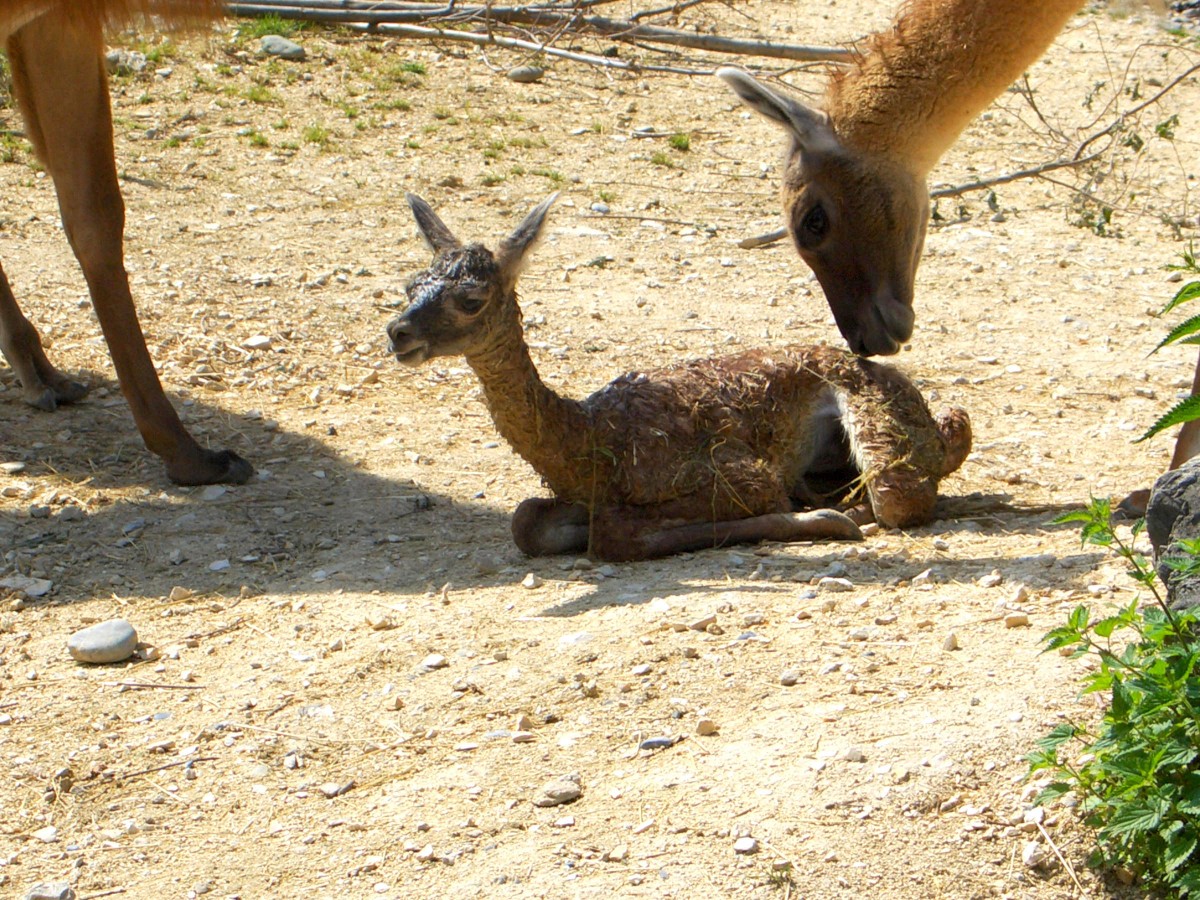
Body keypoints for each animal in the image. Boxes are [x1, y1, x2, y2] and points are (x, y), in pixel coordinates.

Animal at [388, 196, 969, 564]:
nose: (398, 332)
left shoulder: (740, 474)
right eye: (411, 285)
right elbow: (527, 520)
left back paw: (847, 510)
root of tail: (942, 427)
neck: (594, 442)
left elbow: (617, 534)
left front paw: (822, 521)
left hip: (884, 439)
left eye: (471, 298)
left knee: (898, 500)